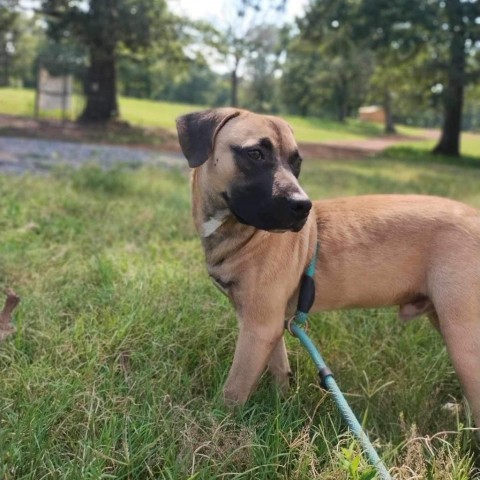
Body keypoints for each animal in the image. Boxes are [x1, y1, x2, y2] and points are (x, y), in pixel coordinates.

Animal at [176, 109, 480, 428]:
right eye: (255, 153)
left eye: (296, 162)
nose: (303, 206)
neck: (244, 234)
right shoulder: (266, 324)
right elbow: (278, 366)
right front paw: (281, 404)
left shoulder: (257, 328)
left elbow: (234, 389)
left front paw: (216, 423)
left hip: (463, 337)